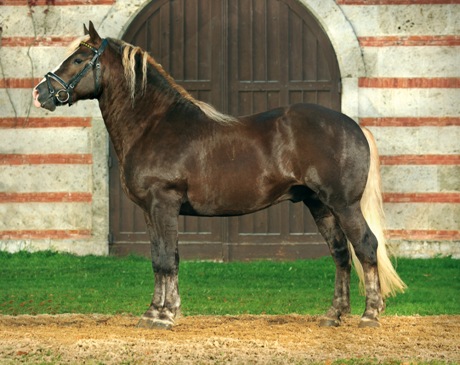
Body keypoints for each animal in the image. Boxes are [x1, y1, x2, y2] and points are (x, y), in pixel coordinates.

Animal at [33, 22, 406, 330]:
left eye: (79, 59)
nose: (40, 93)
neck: (154, 125)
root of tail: (353, 126)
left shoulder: (163, 204)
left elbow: (167, 259)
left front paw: (164, 316)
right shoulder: (150, 211)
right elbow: (160, 259)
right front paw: (155, 311)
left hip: (343, 205)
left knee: (366, 246)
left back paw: (370, 315)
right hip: (319, 205)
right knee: (340, 252)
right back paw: (333, 315)